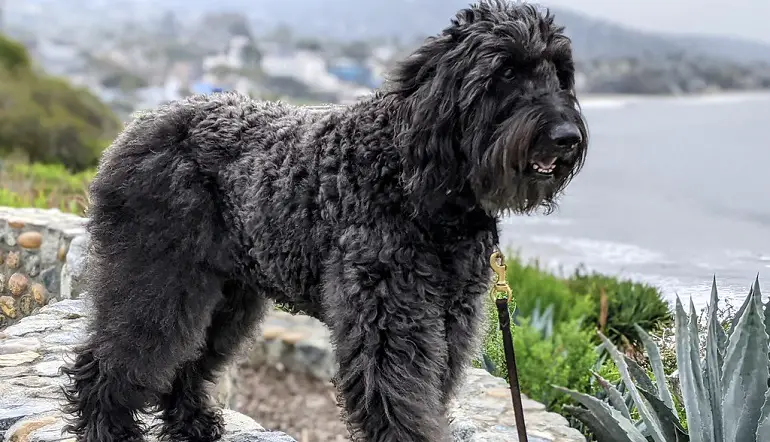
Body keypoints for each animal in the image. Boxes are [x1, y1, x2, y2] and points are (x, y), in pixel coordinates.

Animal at [61, 1, 588, 440]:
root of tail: (136, 129)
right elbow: (398, 401)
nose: (567, 137)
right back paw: (110, 427)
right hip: (157, 280)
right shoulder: (388, 319)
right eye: (505, 71)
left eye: (560, 74)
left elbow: (429, 395)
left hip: (227, 296)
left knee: (189, 359)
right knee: (115, 356)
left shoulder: (449, 319)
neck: (415, 179)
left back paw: (192, 423)